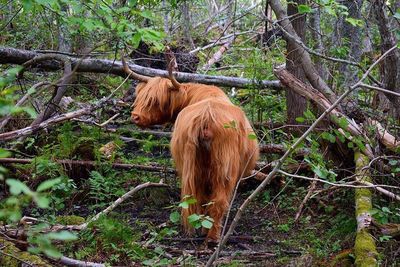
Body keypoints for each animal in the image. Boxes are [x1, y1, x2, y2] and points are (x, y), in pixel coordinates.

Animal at [122, 58, 260, 243]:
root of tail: (206, 116)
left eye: (155, 100)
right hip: (222, 168)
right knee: (215, 200)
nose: (135, 116)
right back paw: (211, 237)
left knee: (200, 197)